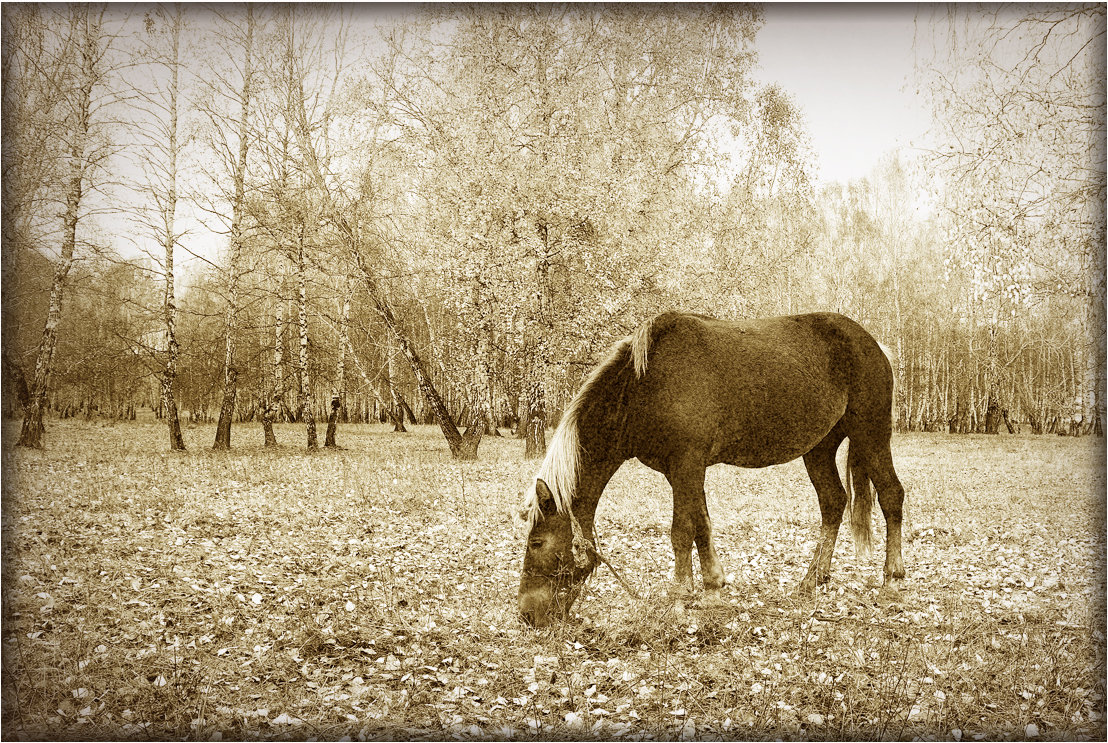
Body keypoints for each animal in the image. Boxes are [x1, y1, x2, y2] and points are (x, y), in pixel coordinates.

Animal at [514, 312, 904, 628]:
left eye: (536, 542)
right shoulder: (683, 471)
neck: (645, 387)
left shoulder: (687, 463)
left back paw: (892, 581)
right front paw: (712, 588)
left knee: (891, 496)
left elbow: (681, 531)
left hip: (870, 434)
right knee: (833, 502)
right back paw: (813, 580)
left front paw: (679, 598)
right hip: (819, 449)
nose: (527, 615)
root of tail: (873, 344)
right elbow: (702, 526)